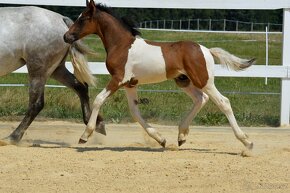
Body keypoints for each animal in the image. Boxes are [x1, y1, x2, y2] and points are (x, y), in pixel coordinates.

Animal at [0, 6, 106, 144]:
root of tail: (61, 19)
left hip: (38, 70)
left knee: (36, 104)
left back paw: (12, 138)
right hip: (56, 69)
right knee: (80, 86)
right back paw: (95, 125)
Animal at [64, 0, 255, 150]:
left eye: (82, 19)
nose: (66, 36)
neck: (122, 45)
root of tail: (207, 50)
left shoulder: (119, 79)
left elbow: (98, 100)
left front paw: (85, 135)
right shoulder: (130, 83)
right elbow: (135, 112)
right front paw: (161, 139)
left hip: (203, 80)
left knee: (223, 102)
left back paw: (247, 142)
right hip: (184, 81)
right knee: (201, 99)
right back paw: (181, 136)